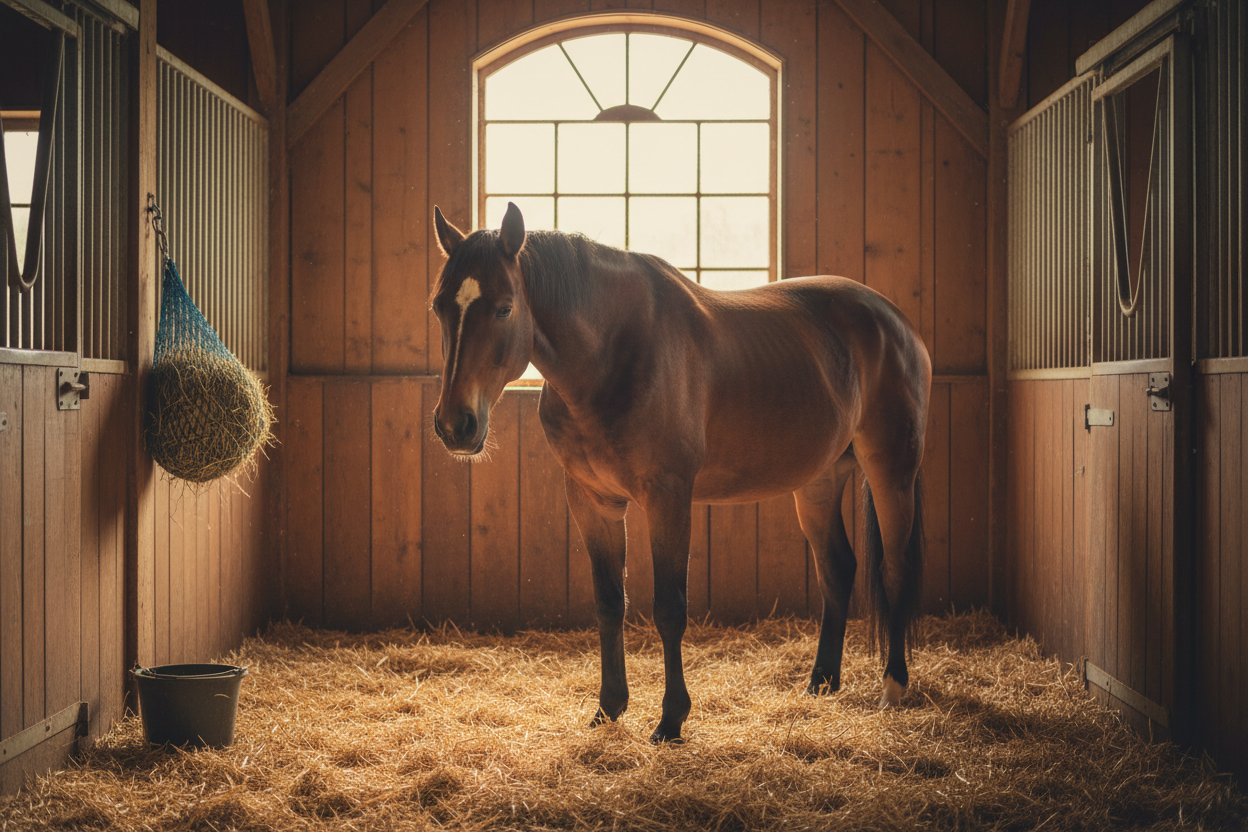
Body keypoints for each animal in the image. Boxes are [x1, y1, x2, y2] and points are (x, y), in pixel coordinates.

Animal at [430, 202, 930, 744]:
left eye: (504, 308)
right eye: (439, 307)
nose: (455, 425)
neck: (613, 354)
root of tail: (897, 324)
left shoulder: (667, 497)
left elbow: (669, 607)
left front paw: (671, 720)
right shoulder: (592, 501)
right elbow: (610, 602)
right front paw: (608, 708)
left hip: (891, 469)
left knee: (895, 569)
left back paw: (893, 688)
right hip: (819, 481)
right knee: (837, 569)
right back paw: (821, 682)